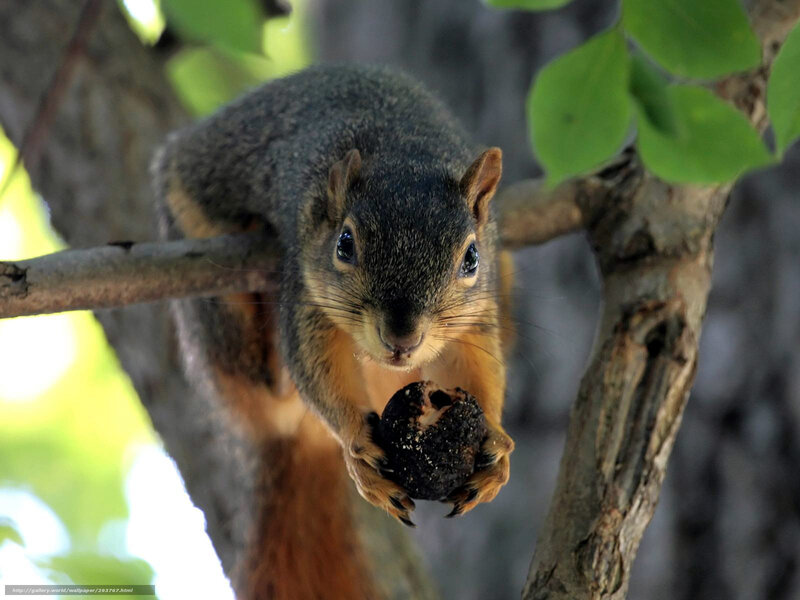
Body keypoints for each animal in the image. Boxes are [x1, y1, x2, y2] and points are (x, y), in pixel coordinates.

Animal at [152, 64, 515, 600]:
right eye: (345, 244)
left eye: (471, 258)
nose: (402, 339)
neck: (402, 147)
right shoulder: (307, 291)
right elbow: (314, 364)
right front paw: (355, 442)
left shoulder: (479, 315)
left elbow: (478, 367)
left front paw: (494, 440)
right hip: (211, 299)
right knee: (267, 386)